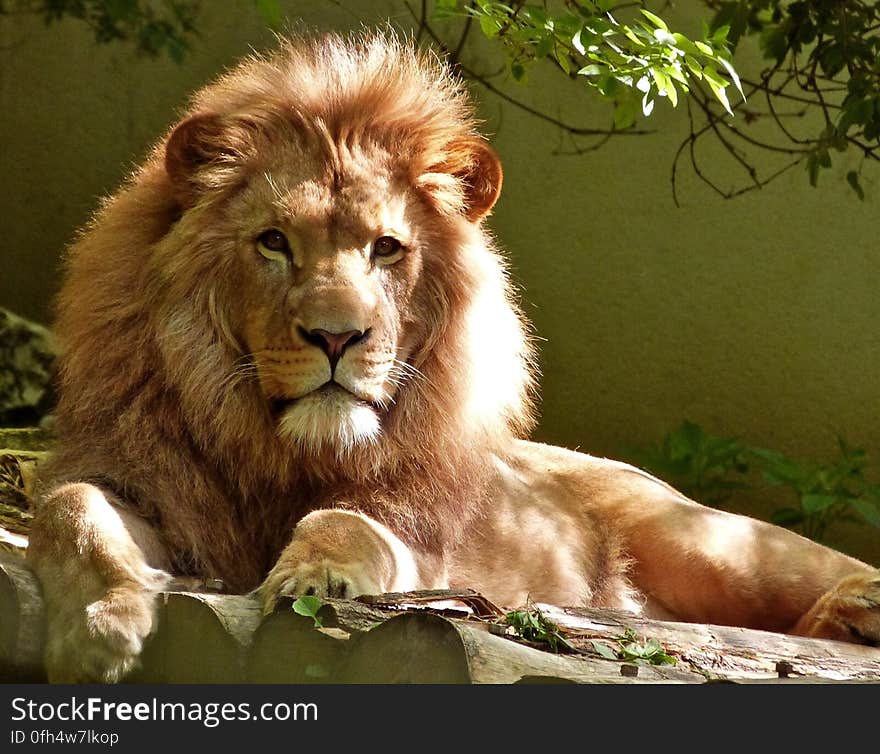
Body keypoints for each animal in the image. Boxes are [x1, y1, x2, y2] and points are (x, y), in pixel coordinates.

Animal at [27, 32, 880, 680]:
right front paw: (103, 622)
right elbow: (70, 507)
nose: (337, 337)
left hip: (708, 542)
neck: (281, 451)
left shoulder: (421, 547)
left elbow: (348, 522)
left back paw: (857, 607)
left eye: (386, 248)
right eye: (273, 242)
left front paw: (315, 575)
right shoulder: (143, 480)